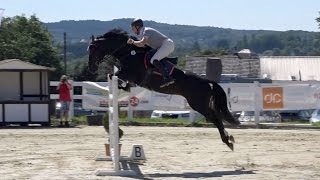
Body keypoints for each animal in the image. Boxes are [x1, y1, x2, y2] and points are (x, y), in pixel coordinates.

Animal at [87, 28, 240, 150]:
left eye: (93, 49)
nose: (91, 68)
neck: (128, 53)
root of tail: (207, 82)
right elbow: (115, 78)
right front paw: (123, 87)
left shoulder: (131, 75)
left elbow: (115, 76)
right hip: (200, 104)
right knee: (216, 117)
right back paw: (228, 139)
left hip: (199, 104)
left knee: (216, 118)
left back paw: (227, 140)